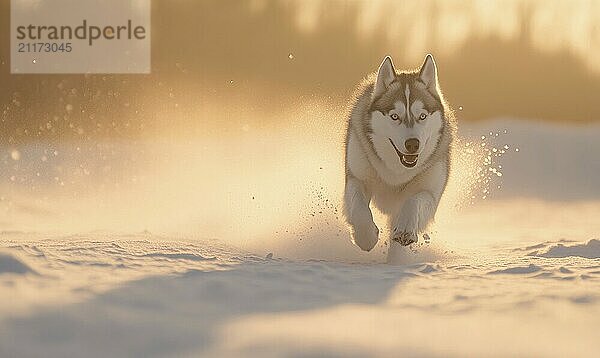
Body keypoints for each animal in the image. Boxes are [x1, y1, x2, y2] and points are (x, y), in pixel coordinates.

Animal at [342, 53, 454, 255]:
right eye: (395, 116)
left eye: (422, 116)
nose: (413, 144)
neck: (396, 173)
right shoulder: (356, 178)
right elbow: (358, 206)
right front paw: (365, 237)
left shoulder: (430, 193)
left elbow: (414, 200)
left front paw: (405, 230)